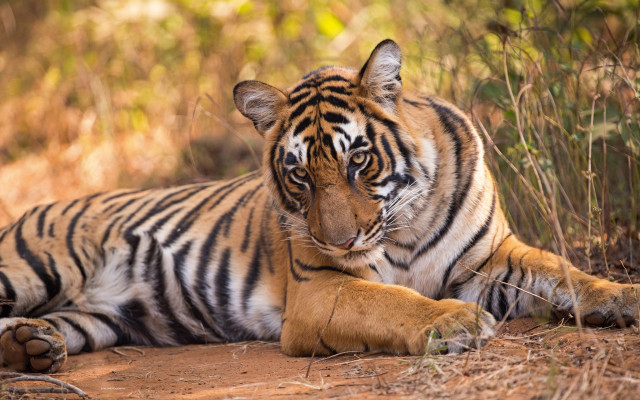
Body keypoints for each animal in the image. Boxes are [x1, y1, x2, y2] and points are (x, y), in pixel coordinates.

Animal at [0, 39, 637, 374]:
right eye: (300, 174)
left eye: (358, 160)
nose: (338, 240)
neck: (407, 224)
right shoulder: (320, 289)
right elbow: (393, 302)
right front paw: (453, 321)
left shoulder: (491, 259)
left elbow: (563, 271)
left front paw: (623, 296)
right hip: (30, 268)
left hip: (101, 317)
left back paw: (33, 346)